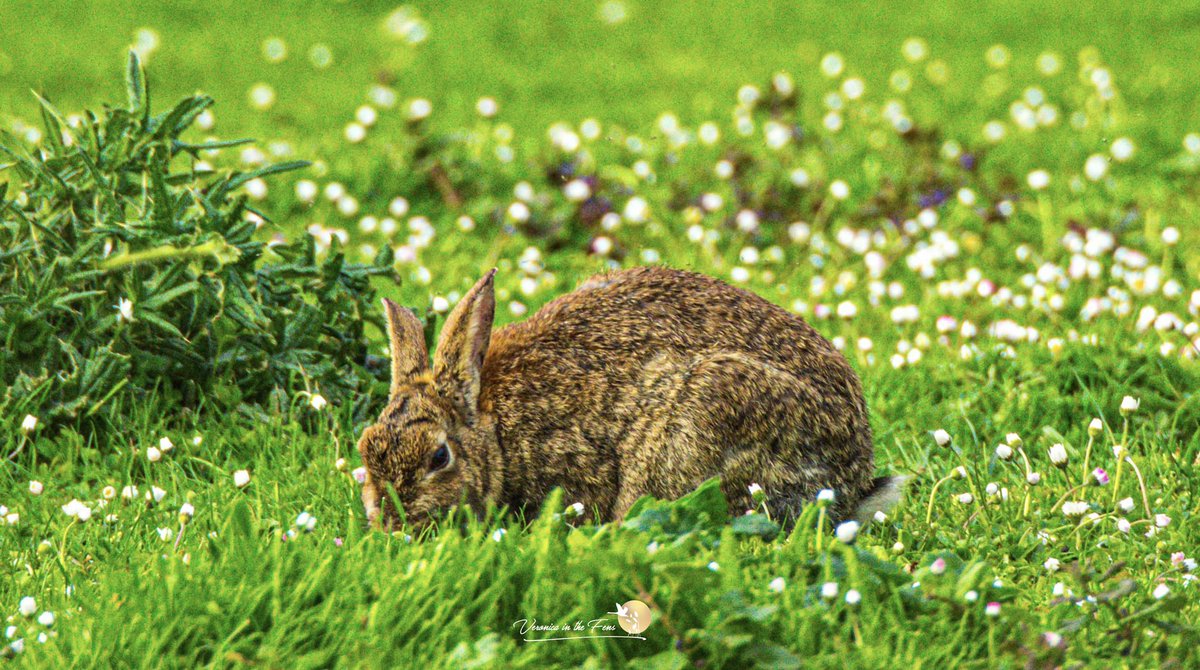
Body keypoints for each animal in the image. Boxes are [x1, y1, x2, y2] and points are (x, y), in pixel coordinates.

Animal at [355, 265, 902, 533]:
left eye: (438, 457)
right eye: (365, 449)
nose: (392, 525)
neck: (491, 426)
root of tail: (852, 480)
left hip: (705, 418)